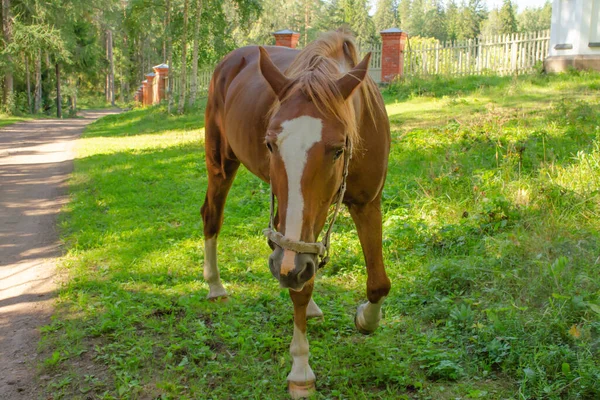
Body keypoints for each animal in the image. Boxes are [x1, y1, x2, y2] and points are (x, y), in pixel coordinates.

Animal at [199, 31, 392, 396]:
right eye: (270, 144)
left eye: (338, 149)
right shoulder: (293, 245)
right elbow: (299, 284)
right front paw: (301, 370)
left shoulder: (368, 203)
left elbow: (378, 283)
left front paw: (365, 318)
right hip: (221, 165)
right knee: (212, 217)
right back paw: (215, 286)